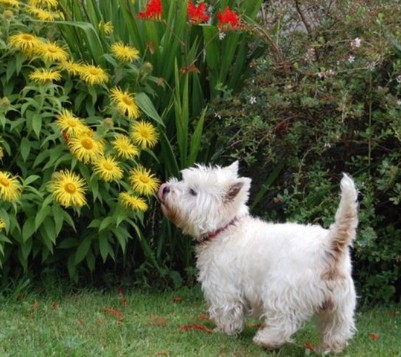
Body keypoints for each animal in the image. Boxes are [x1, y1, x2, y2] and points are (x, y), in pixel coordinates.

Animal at [158, 161, 358, 354]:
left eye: (193, 191)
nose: (164, 188)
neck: (225, 229)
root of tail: (329, 246)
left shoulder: (223, 286)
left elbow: (226, 311)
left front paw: (223, 331)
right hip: (340, 304)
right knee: (337, 329)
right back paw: (327, 348)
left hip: (282, 292)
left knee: (283, 323)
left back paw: (265, 341)